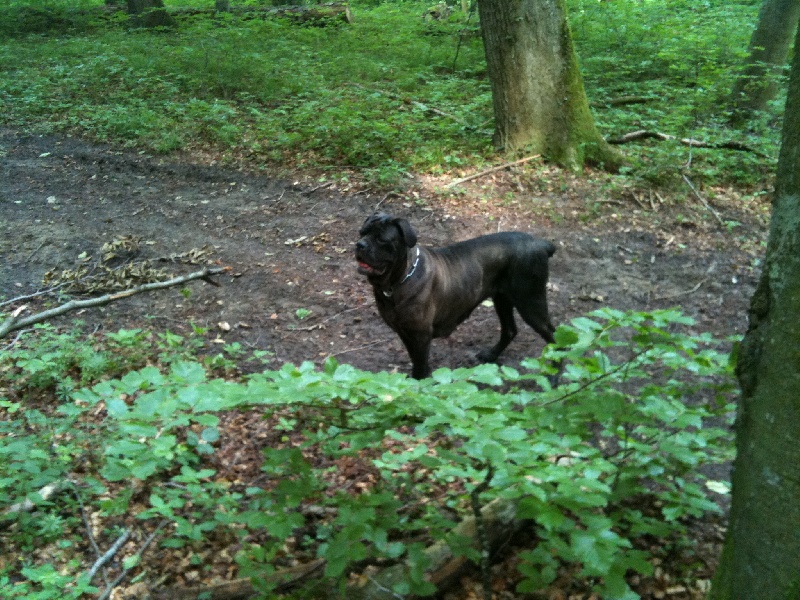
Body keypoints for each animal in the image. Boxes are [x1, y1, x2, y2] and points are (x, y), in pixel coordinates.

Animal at [356, 213, 556, 378]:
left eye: (381, 239)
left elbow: (419, 365)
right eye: (361, 233)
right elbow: (416, 361)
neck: (398, 281)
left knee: (552, 335)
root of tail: (541, 244)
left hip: (530, 301)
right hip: (502, 299)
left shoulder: (420, 335)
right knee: (510, 330)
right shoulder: (405, 333)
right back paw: (490, 355)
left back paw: (553, 376)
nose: (360, 245)